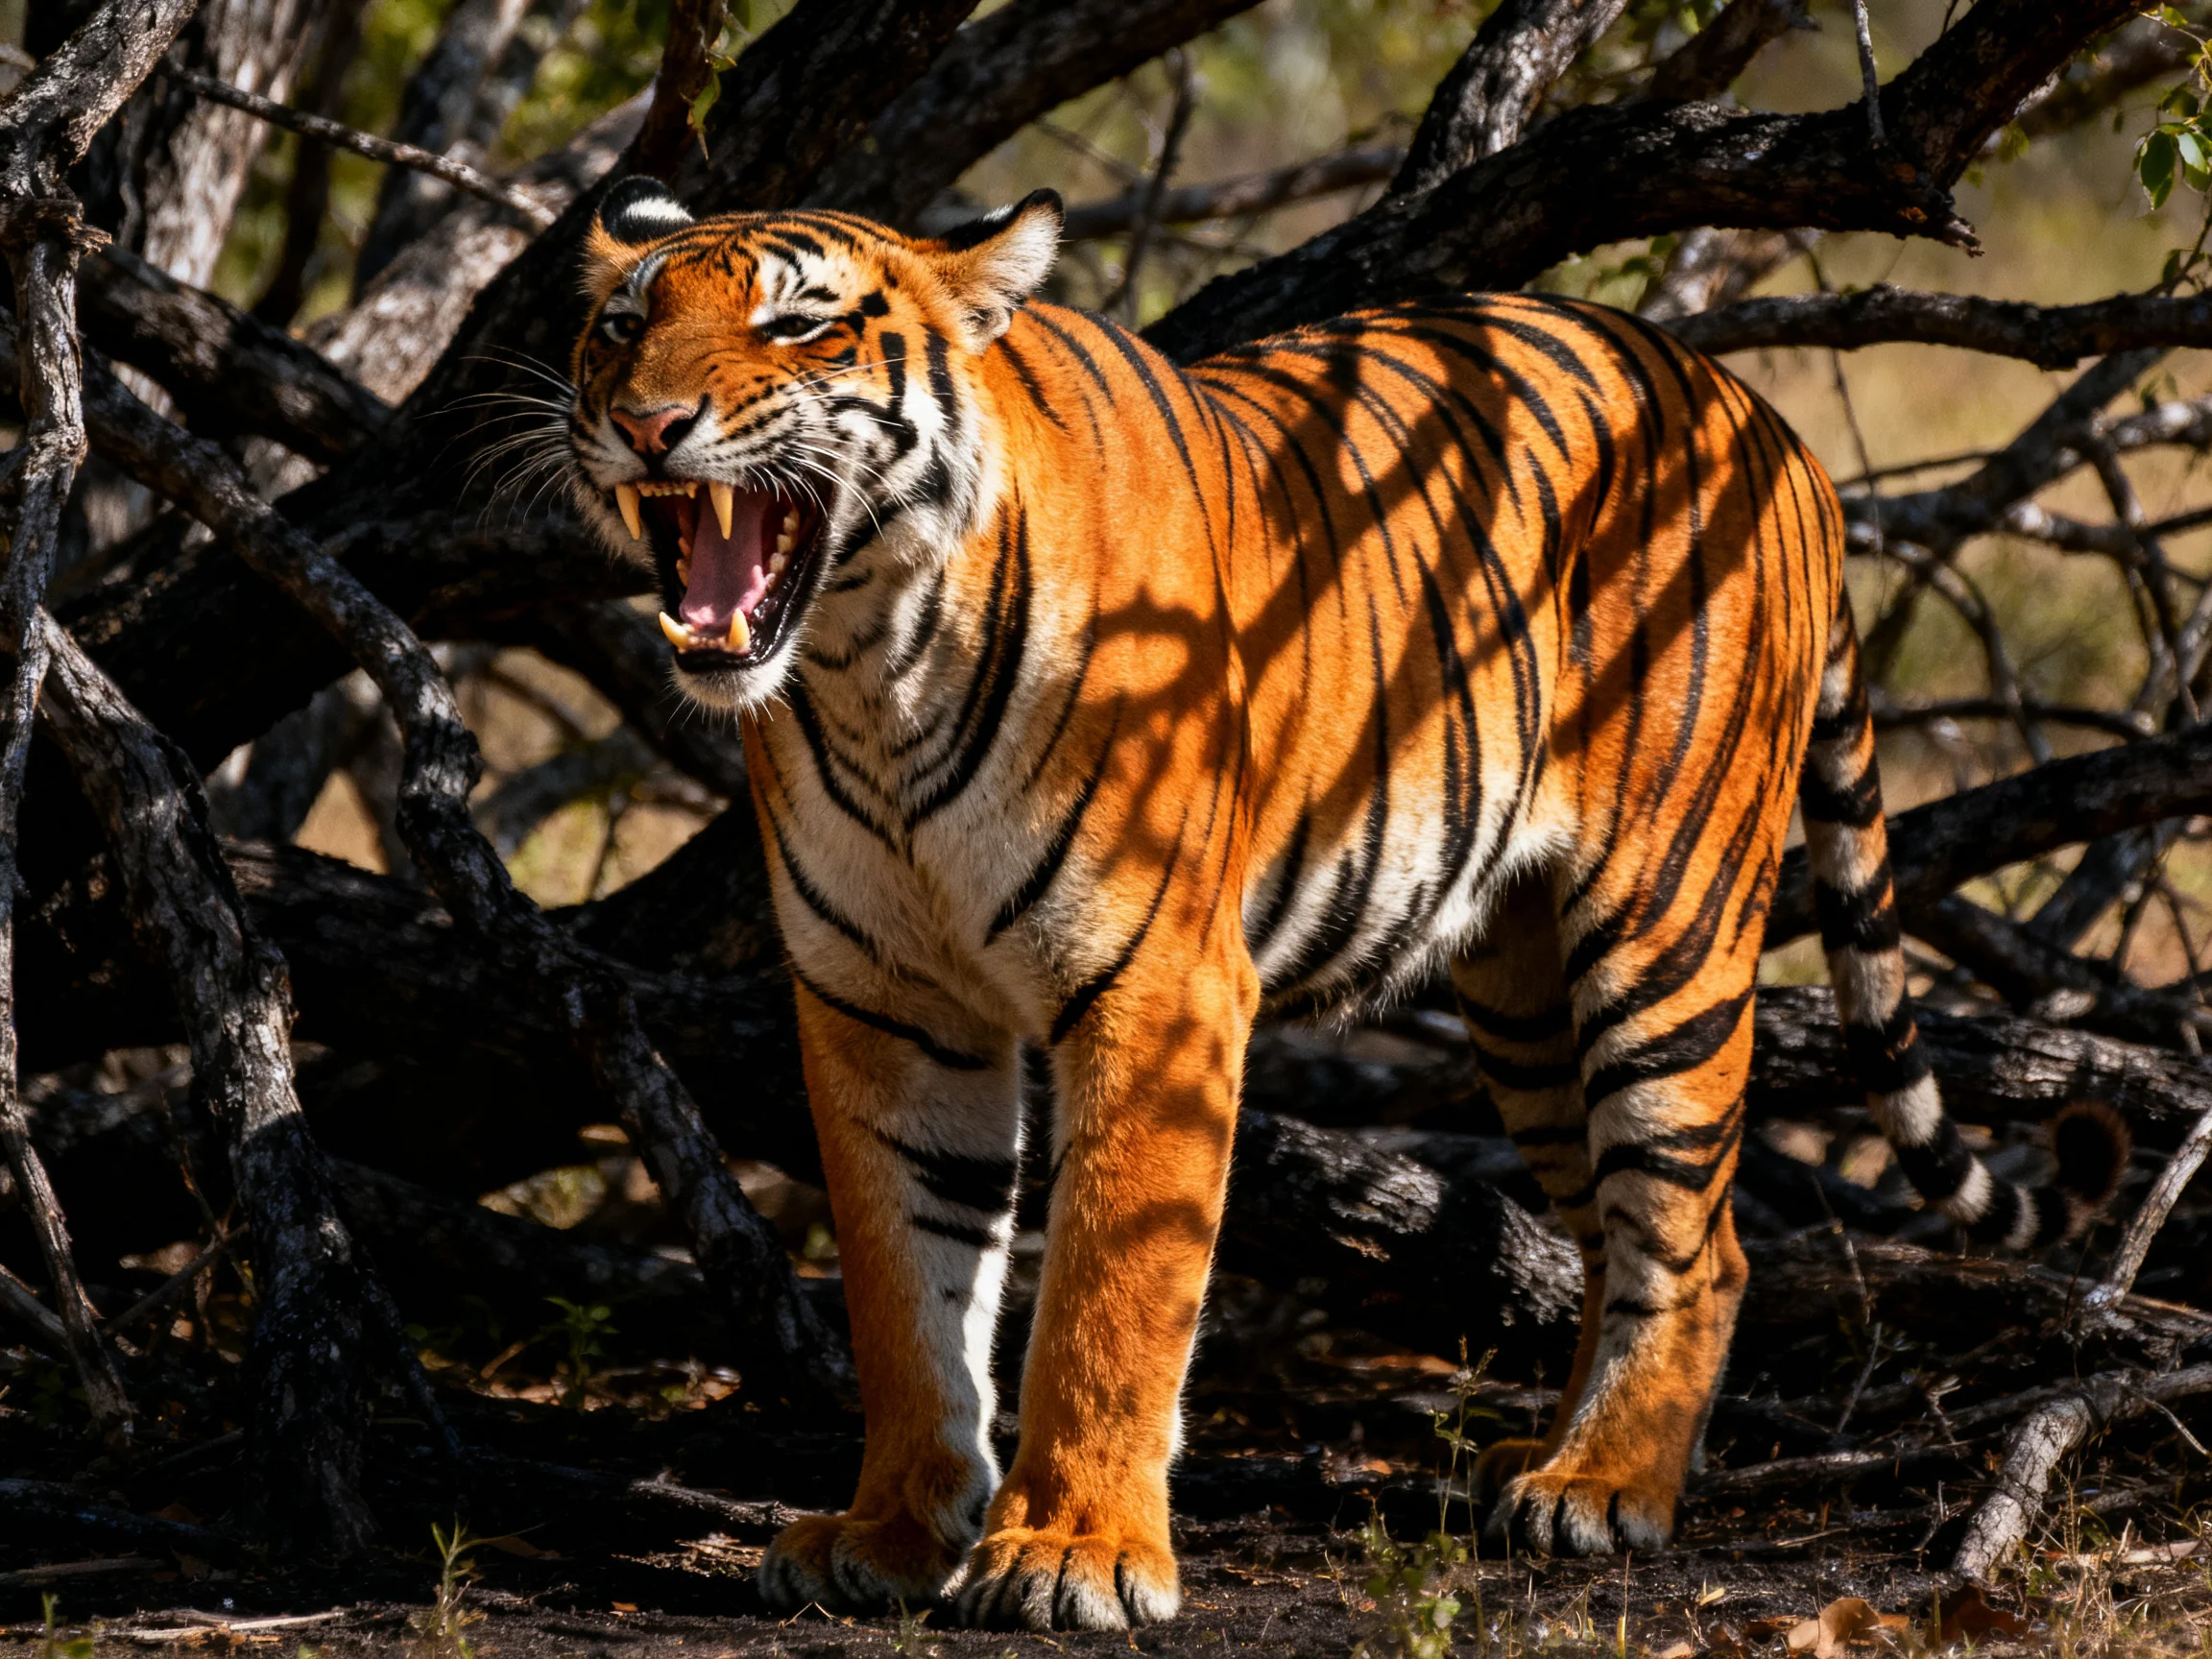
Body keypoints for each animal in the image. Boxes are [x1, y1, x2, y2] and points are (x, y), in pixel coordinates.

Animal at [562, 175, 2127, 1629]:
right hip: (1526, 1005)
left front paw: (1074, 1553)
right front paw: (891, 1532)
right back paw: (1538, 1462)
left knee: (1704, 1237)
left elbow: (1109, 1291)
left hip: (1663, 934)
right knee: (1608, 1224)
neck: (869, 661)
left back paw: (1607, 1486)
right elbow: (907, 1288)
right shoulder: (883, 1004)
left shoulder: (1160, 990)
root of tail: (1763, 416)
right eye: (624, 325)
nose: (647, 424)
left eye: (797, 323)